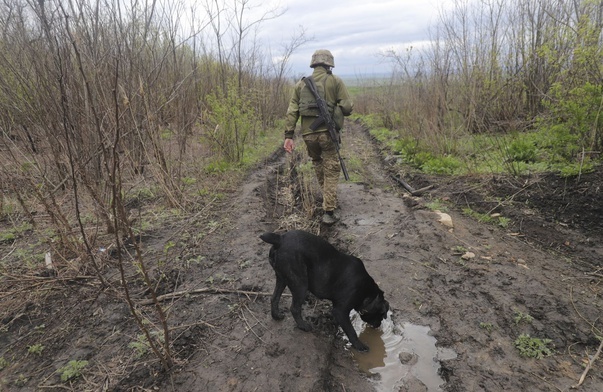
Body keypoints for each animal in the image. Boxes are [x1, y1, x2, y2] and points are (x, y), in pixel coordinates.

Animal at [258, 230, 390, 352]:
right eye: (381, 314)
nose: (378, 325)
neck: (367, 293)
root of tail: (280, 239)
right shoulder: (341, 311)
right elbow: (351, 331)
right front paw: (359, 346)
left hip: (281, 278)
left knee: (274, 298)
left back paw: (276, 315)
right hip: (300, 284)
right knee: (294, 308)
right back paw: (303, 326)